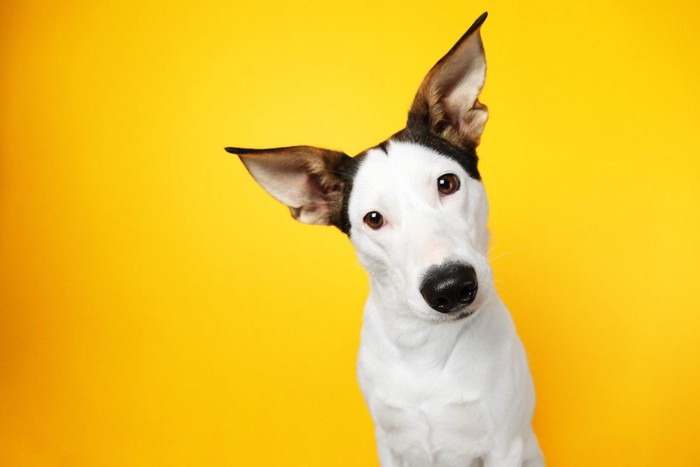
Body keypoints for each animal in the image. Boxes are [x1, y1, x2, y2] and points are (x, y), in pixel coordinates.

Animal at [227, 11, 544, 467]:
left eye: (447, 183)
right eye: (374, 219)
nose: (450, 287)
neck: (425, 346)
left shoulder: (505, 446)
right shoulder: (390, 443)